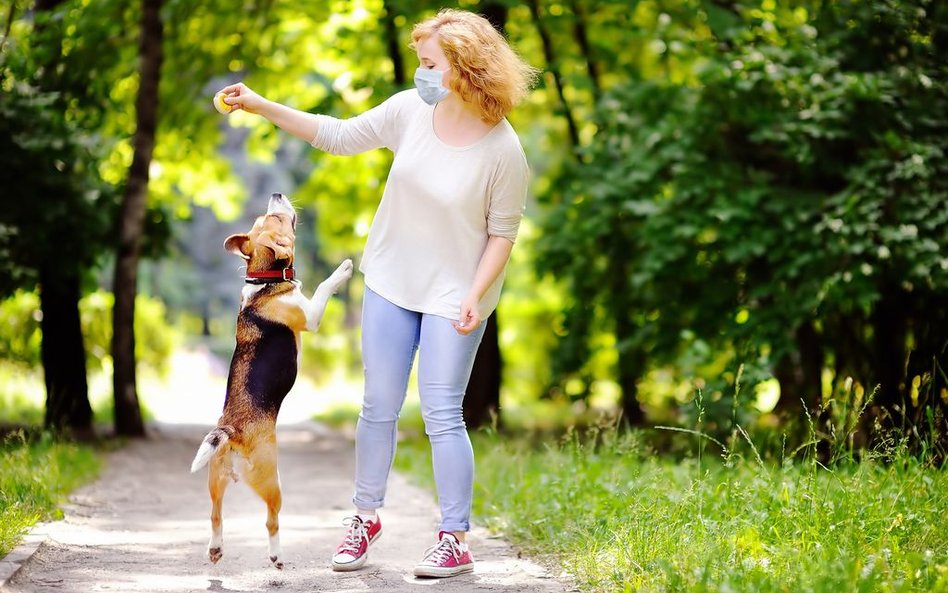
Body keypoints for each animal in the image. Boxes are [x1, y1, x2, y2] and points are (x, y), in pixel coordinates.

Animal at [191, 192, 354, 568]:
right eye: (275, 220)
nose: (277, 195)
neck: (264, 280)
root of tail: (231, 431)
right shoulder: (311, 316)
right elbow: (324, 287)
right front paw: (342, 270)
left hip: (215, 480)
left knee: (215, 516)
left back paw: (216, 549)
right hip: (272, 482)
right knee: (271, 520)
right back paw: (277, 556)